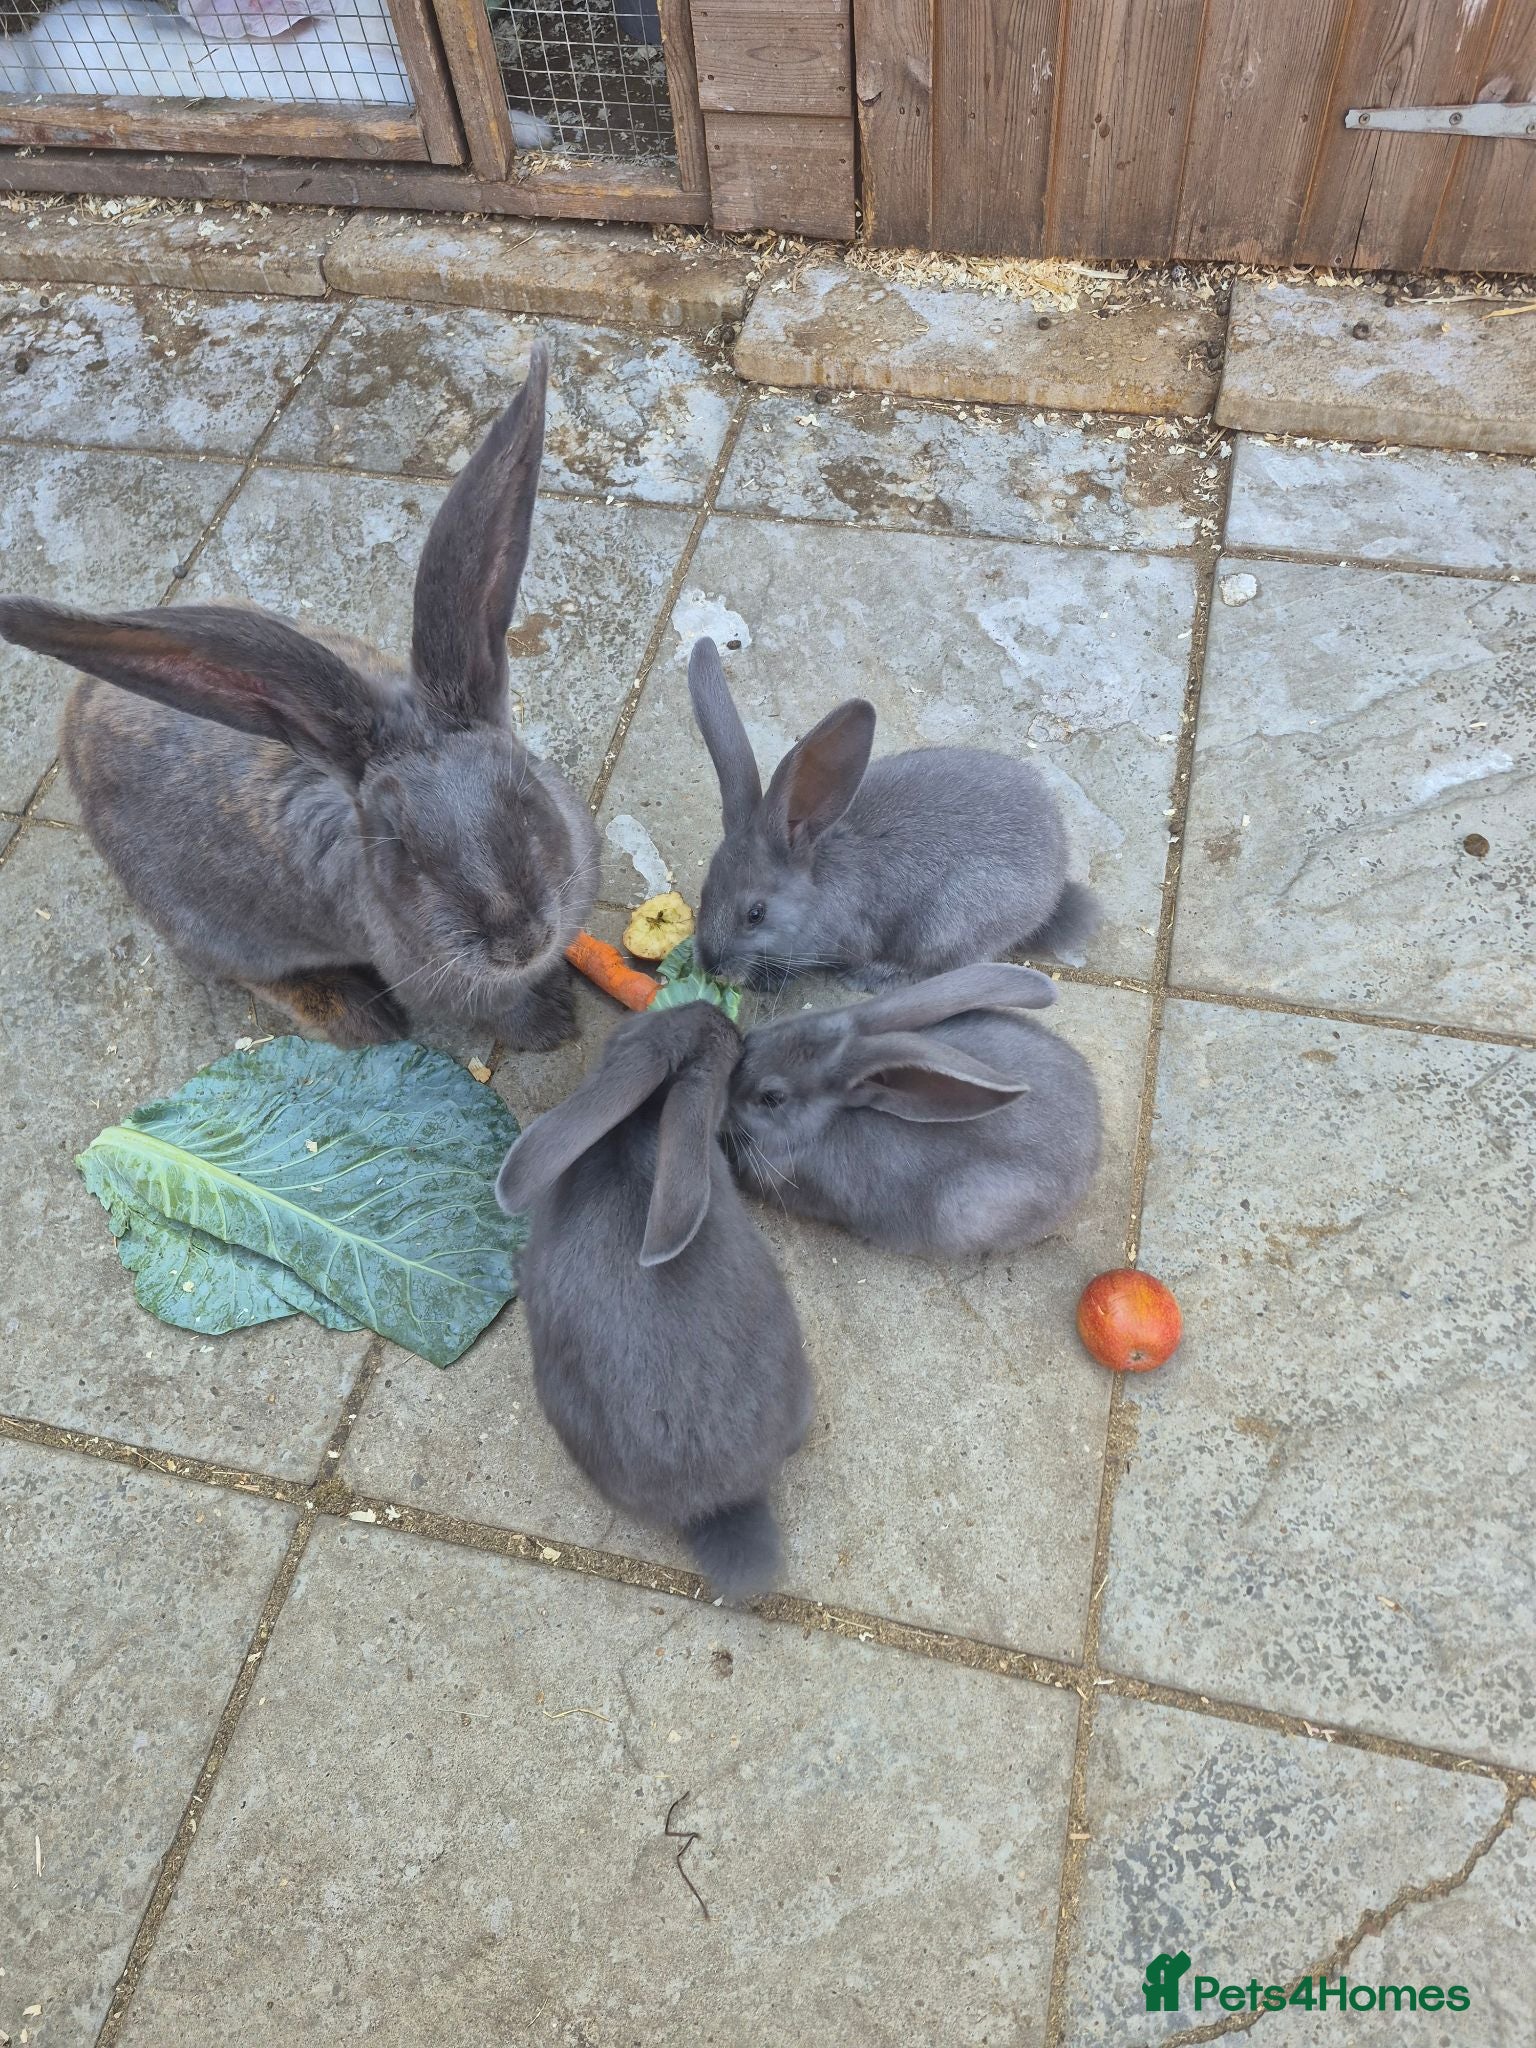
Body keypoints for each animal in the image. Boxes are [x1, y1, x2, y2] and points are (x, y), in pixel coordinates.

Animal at [0, 343, 596, 1052]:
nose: (519, 941)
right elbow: (495, 1010)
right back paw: (359, 1015)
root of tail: (76, 715)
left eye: (523, 797)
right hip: (217, 934)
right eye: (403, 849)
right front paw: (551, 1023)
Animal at [685, 636, 1101, 990]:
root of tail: (1051, 895)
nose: (710, 964)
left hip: (946, 923)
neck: (815, 891)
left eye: (755, 914)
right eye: (705, 891)